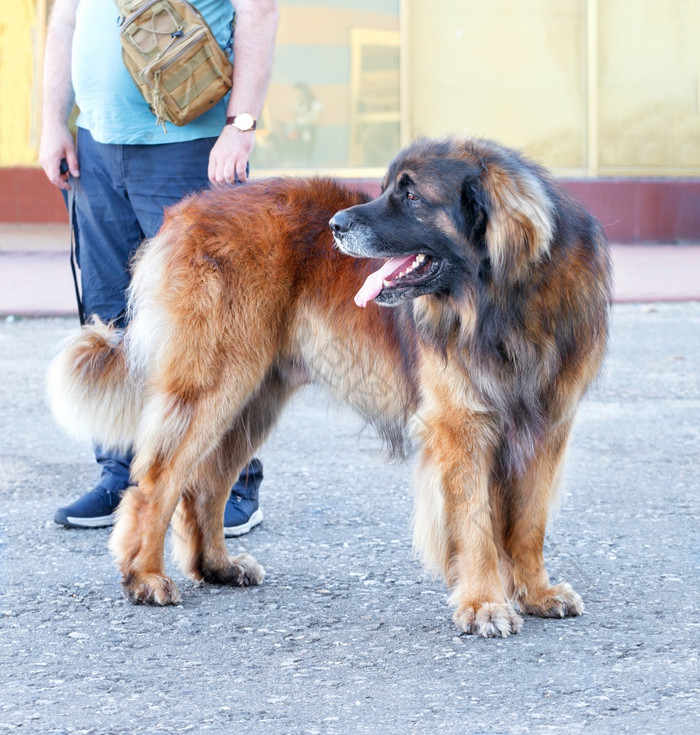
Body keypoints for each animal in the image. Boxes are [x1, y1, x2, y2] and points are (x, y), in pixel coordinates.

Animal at [47, 138, 612, 640]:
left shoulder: (548, 427)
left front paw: (536, 594)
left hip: (253, 397)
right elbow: (475, 525)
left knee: (206, 483)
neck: (505, 300)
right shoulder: (462, 425)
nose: (336, 226)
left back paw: (218, 567)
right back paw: (145, 576)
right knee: (156, 482)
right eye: (385, 188)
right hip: (217, 383)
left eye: (410, 196)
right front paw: (484, 604)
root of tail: (186, 209)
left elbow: (529, 523)